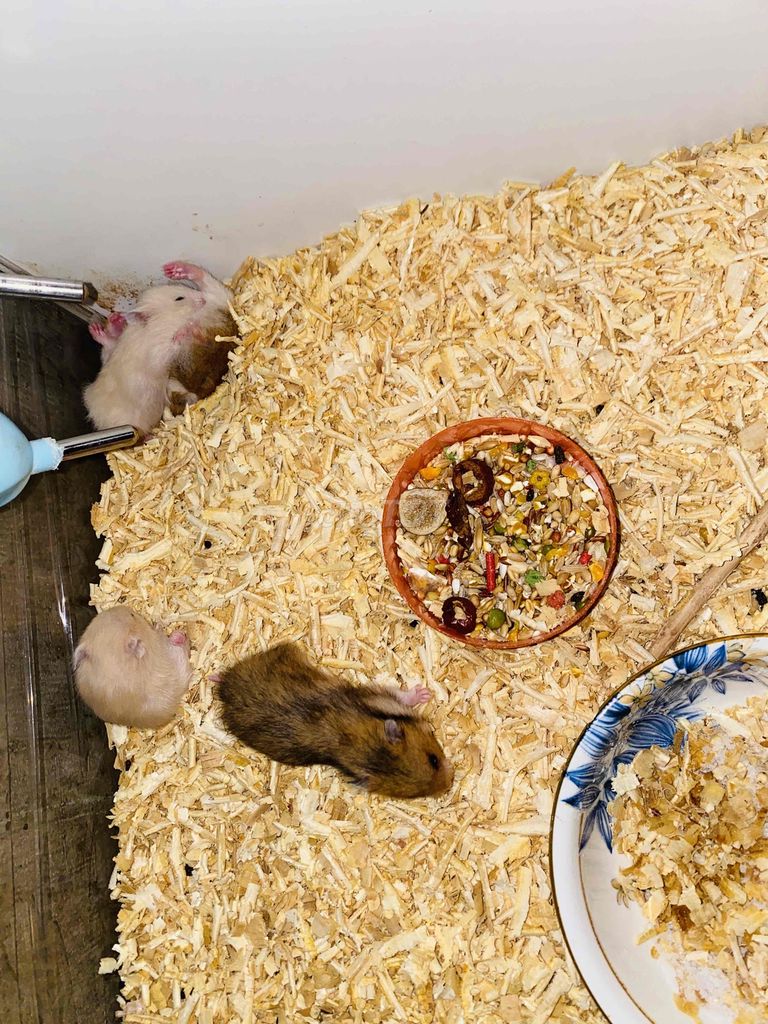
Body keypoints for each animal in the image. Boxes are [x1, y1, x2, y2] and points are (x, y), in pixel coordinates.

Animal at [216, 642, 454, 799]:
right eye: (433, 760)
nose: (450, 781)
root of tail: (225, 692)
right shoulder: (377, 695)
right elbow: (401, 694)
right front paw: (424, 693)